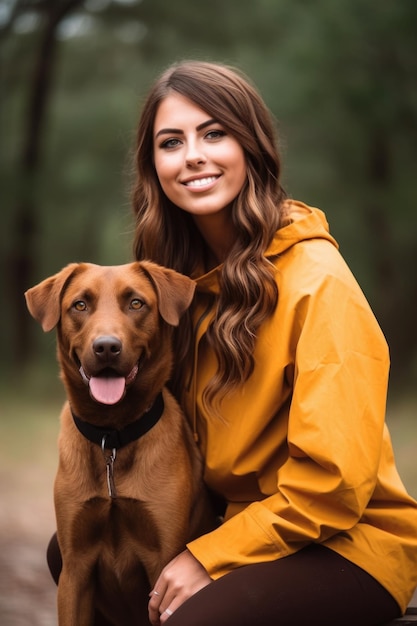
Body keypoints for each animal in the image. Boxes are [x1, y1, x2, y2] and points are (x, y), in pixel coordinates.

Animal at [24, 260, 214, 624]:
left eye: (136, 303)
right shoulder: (75, 570)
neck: (111, 437)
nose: (107, 347)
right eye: (80, 305)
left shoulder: (163, 563)